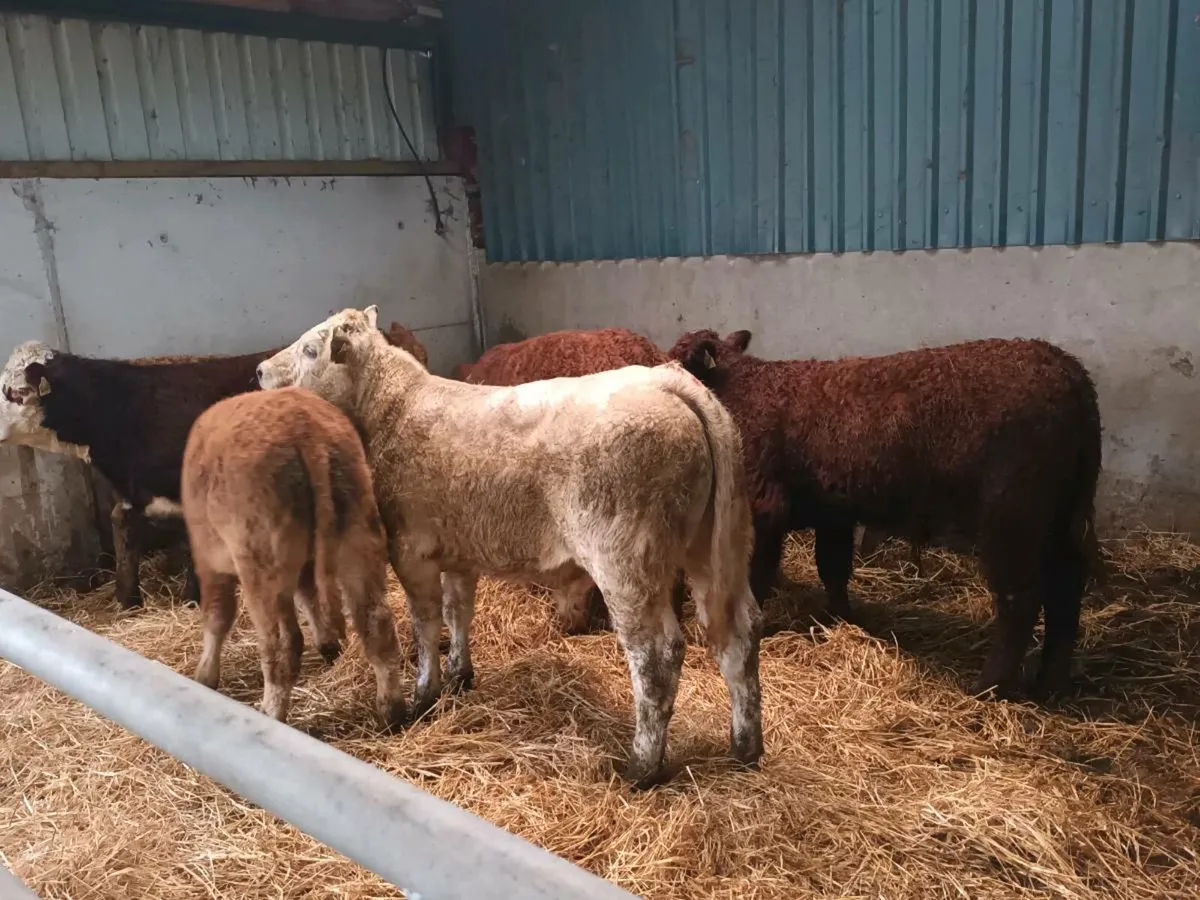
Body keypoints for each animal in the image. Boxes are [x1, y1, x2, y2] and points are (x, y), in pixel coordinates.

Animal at [182, 385, 407, 727]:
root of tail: (307, 431)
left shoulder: (210, 562)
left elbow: (217, 615)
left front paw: (205, 675)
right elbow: (309, 595)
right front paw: (328, 644)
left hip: (263, 562)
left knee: (282, 645)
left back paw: (271, 713)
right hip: (359, 537)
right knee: (376, 622)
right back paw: (392, 711)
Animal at [257, 306, 763, 788]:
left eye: (310, 349)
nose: (260, 371)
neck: (393, 410)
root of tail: (666, 382)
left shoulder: (411, 549)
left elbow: (425, 624)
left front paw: (425, 693)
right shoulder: (456, 549)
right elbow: (458, 610)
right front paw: (460, 675)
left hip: (626, 563)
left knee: (656, 657)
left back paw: (643, 766)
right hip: (709, 548)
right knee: (739, 634)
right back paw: (746, 746)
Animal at [668, 329, 1102, 700]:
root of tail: (1068, 369)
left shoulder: (761, 509)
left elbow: (755, 576)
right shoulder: (833, 513)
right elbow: (833, 568)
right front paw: (839, 621)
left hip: (1012, 519)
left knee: (1021, 599)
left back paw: (989, 687)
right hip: (1068, 516)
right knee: (1066, 588)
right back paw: (1050, 684)